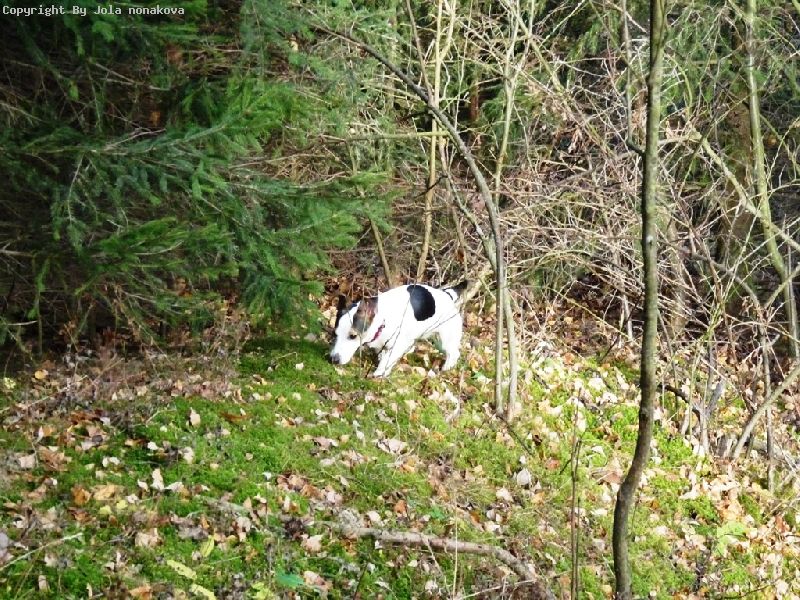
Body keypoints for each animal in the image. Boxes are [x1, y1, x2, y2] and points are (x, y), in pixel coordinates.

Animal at [329, 282, 467, 378]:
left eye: (353, 336)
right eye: (335, 334)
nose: (333, 359)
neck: (383, 319)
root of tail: (448, 295)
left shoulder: (397, 344)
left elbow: (386, 360)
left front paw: (379, 373)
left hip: (446, 339)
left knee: (454, 353)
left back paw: (447, 367)